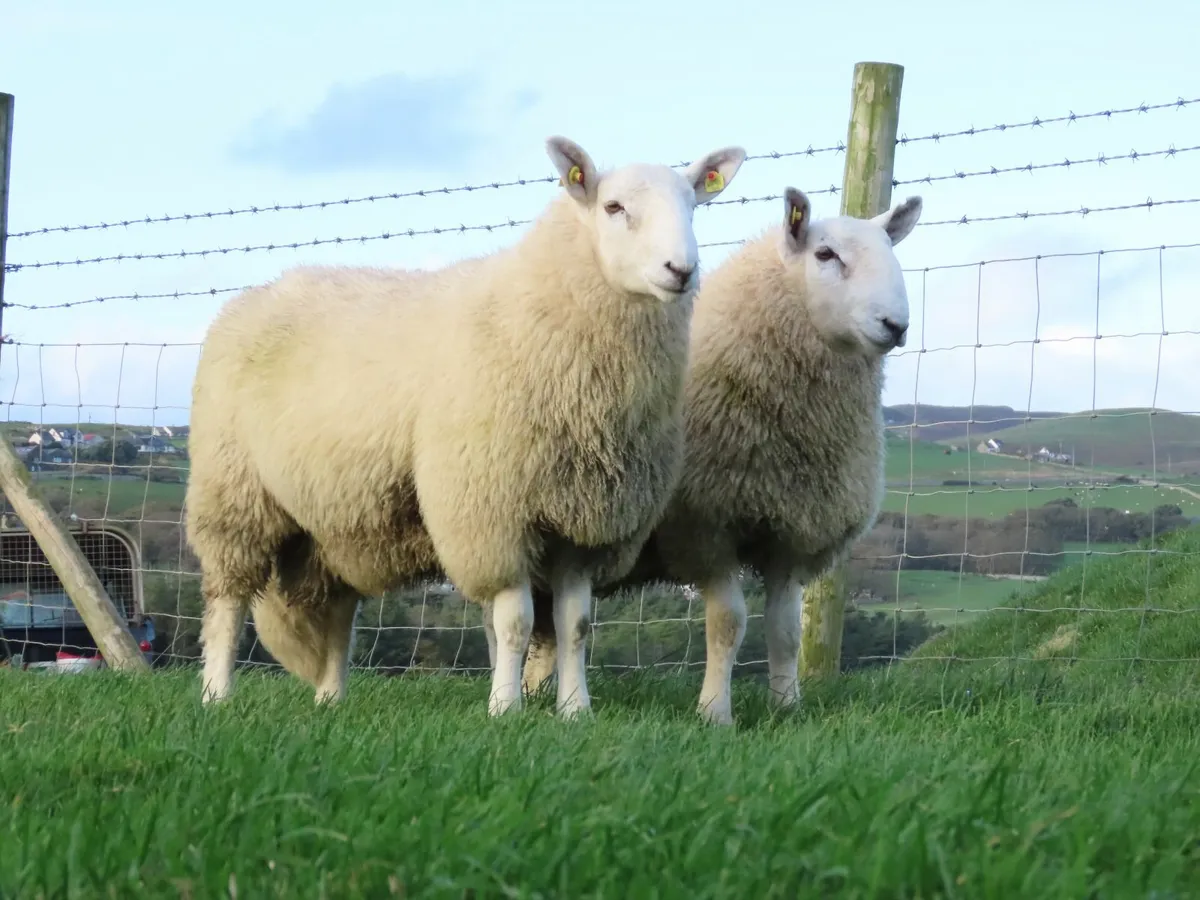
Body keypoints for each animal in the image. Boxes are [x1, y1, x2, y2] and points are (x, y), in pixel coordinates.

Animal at [184, 135, 748, 719]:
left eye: (693, 205)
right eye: (613, 207)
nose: (681, 270)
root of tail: (259, 292)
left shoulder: (583, 520)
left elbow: (575, 625)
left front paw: (575, 710)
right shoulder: (493, 513)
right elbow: (515, 621)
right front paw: (505, 707)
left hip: (334, 519)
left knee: (339, 609)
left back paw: (331, 698)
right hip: (232, 490)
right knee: (227, 601)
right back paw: (216, 694)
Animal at [512, 186, 923, 724]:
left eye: (891, 250)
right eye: (825, 254)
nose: (895, 325)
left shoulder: (790, 534)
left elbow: (787, 631)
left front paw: (787, 707)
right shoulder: (707, 527)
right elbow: (728, 623)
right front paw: (714, 713)